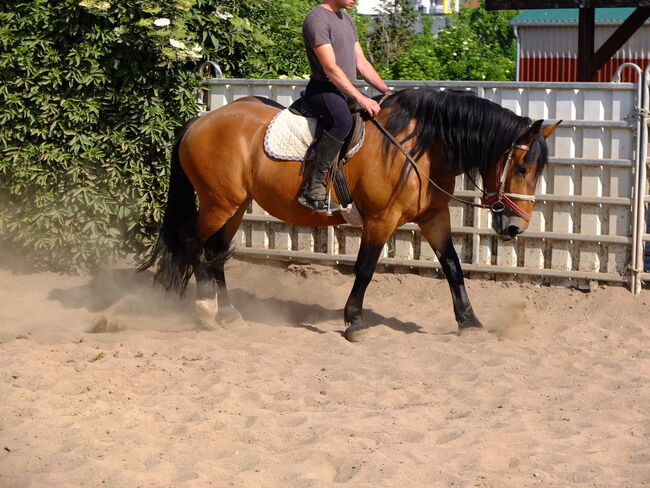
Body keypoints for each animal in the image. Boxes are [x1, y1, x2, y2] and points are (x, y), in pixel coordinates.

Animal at [139, 86, 560, 340]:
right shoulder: (381, 219)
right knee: (193, 242)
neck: (421, 146)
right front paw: (354, 320)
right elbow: (366, 268)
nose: (515, 227)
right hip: (218, 202)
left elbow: (453, 267)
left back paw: (228, 313)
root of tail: (200, 120)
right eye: (523, 167)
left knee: (215, 252)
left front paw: (469, 322)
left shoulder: (433, 218)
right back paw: (205, 309)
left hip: (236, 206)